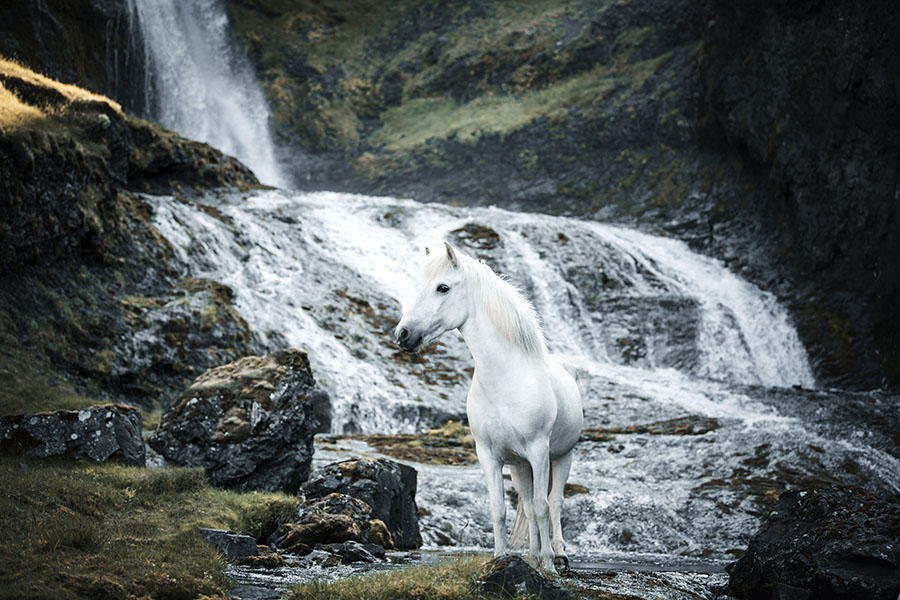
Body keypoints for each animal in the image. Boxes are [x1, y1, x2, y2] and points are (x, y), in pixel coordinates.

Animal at [394, 240, 584, 572]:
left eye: (443, 287)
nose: (403, 334)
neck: (506, 381)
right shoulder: (489, 456)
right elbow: (499, 509)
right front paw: (501, 559)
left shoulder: (539, 452)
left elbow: (543, 506)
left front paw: (548, 567)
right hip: (520, 467)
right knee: (527, 506)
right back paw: (533, 556)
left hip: (561, 457)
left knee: (555, 503)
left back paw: (557, 555)